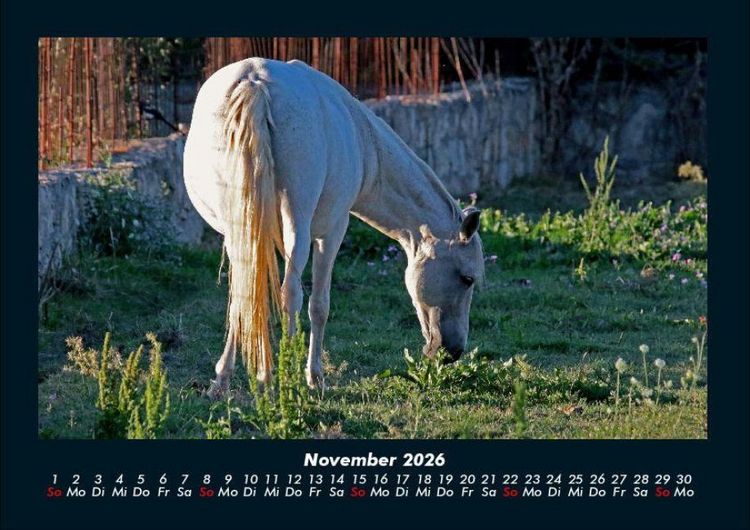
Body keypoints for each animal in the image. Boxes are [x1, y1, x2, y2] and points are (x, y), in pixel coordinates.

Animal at [183, 57, 484, 395]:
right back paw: (286, 381)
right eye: (467, 279)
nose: (453, 351)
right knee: (291, 294)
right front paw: (314, 377)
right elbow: (319, 305)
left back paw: (230, 381)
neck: (366, 144)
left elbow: (248, 296)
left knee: (246, 293)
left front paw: (239, 376)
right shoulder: (332, 231)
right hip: (297, 226)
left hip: (240, 227)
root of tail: (256, 82)